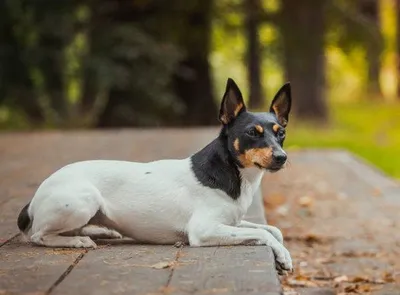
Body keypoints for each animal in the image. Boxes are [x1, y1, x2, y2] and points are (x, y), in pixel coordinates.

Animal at [18, 78, 294, 272]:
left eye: (280, 133)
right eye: (252, 132)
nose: (282, 157)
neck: (231, 173)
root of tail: (34, 199)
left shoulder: (232, 223)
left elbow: (273, 230)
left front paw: (281, 253)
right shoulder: (204, 229)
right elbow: (264, 234)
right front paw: (283, 255)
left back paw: (102, 232)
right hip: (84, 199)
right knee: (39, 235)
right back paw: (79, 241)